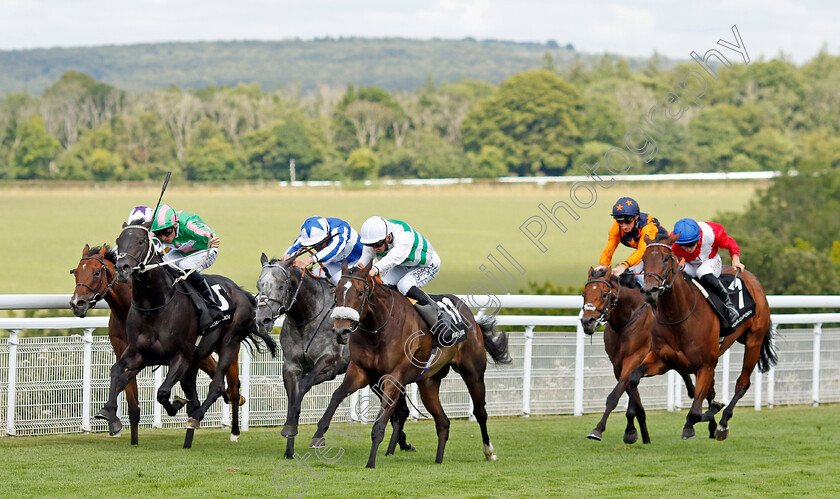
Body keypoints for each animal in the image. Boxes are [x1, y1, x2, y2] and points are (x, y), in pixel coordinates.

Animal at [95, 225, 278, 444]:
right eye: (118, 241)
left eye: (140, 241)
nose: (122, 267)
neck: (155, 305)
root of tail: (242, 293)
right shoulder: (138, 353)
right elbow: (117, 372)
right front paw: (108, 412)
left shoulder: (181, 356)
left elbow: (163, 392)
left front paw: (176, 405)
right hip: (199, 356)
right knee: (198, 385)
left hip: (229, 343)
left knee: (219, 386)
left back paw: (206, 420)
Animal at [254, 256, 416, 458]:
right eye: (259, 285)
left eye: (281, 286)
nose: (262, 320)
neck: (307, 319)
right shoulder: (291, 367)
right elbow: (293, 398)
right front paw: (289, 443)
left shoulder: (330, 364)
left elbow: (305, 385)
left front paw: (312, 434)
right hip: (376, 377)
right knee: (400, 410)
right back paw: (399, 445)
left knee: (400, 410)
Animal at [306, 262, 508, 468]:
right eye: (337, 293)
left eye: (361, 292)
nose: (341, 331)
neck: (378, 328)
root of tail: (472, 318)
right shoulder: (360, 371)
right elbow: (337, 395)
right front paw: (318, 434)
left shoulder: (393, 378)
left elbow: (381, 421)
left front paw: (371, 462)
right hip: (428, 383)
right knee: (443, 422)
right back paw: (438, 460)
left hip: (473, 373)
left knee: (480, 412)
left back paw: (489, 452)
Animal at [576, 268, 708, 444]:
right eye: (584, 295)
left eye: (604, 294)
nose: (587, 322)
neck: (627, 318)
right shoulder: (618, 367)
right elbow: (637, 405)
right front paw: (639, 435)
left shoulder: (634, 359)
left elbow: (614, 396)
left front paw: (598, 429)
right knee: (691, 382)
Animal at [624, 235, 776, 442]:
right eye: (644, 259)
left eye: (666, 258)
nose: (649, 290)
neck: (679, 317)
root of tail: (753, 279)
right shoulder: (663, 360)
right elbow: (633, 377)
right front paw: (630, 429)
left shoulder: (706, 365)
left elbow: (696, 412)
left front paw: (704, 418)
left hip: (754, 341)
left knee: (742, 384)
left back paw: (722, 424)